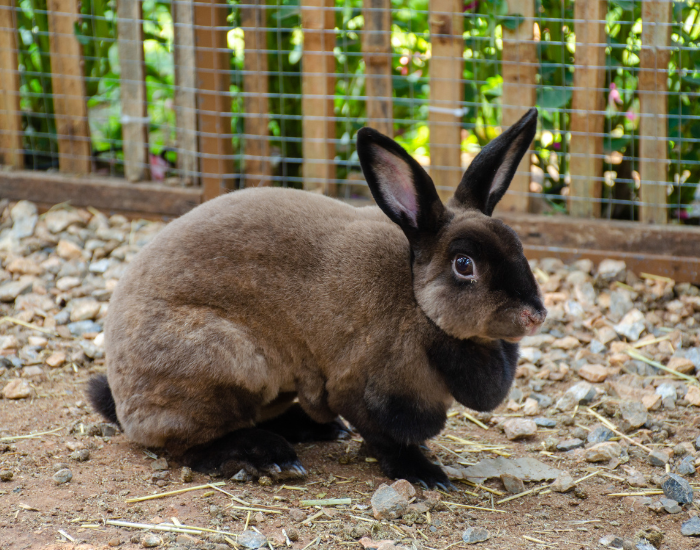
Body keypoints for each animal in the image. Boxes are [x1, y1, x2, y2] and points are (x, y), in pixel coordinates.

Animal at [88, 107, 546, 489]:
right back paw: (268, 457)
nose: (536, 315)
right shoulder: (363, 390)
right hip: (226, 358)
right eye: (464, 265)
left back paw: (321, 430)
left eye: (519, 246)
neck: (419, 303)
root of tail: (123, 396)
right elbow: (387, 440)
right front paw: (426, 475)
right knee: (187, 443)